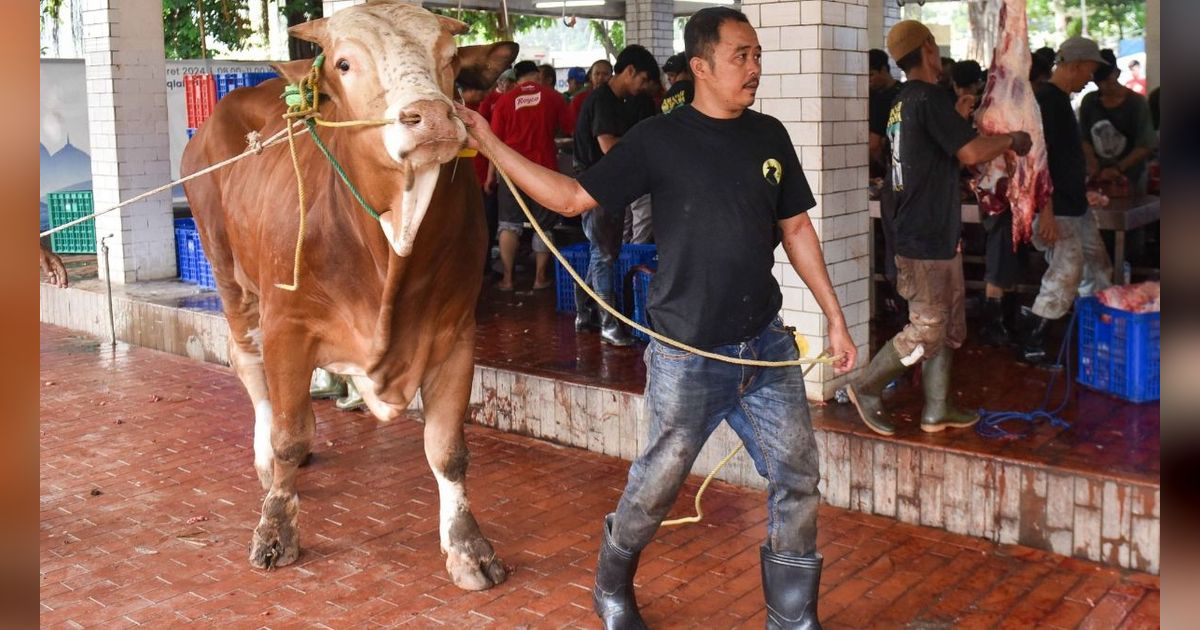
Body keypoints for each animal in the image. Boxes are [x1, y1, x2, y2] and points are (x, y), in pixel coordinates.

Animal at [181, 1, 516, 590]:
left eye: (451, 59)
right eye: (343, 63)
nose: (431, 116)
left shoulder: (455, 331)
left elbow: (448, 450)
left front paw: (468, 547)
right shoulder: (287, 326)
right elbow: (289, 434)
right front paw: (275, 530)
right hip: (229, 275)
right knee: (248, 366)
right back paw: (265, 460)